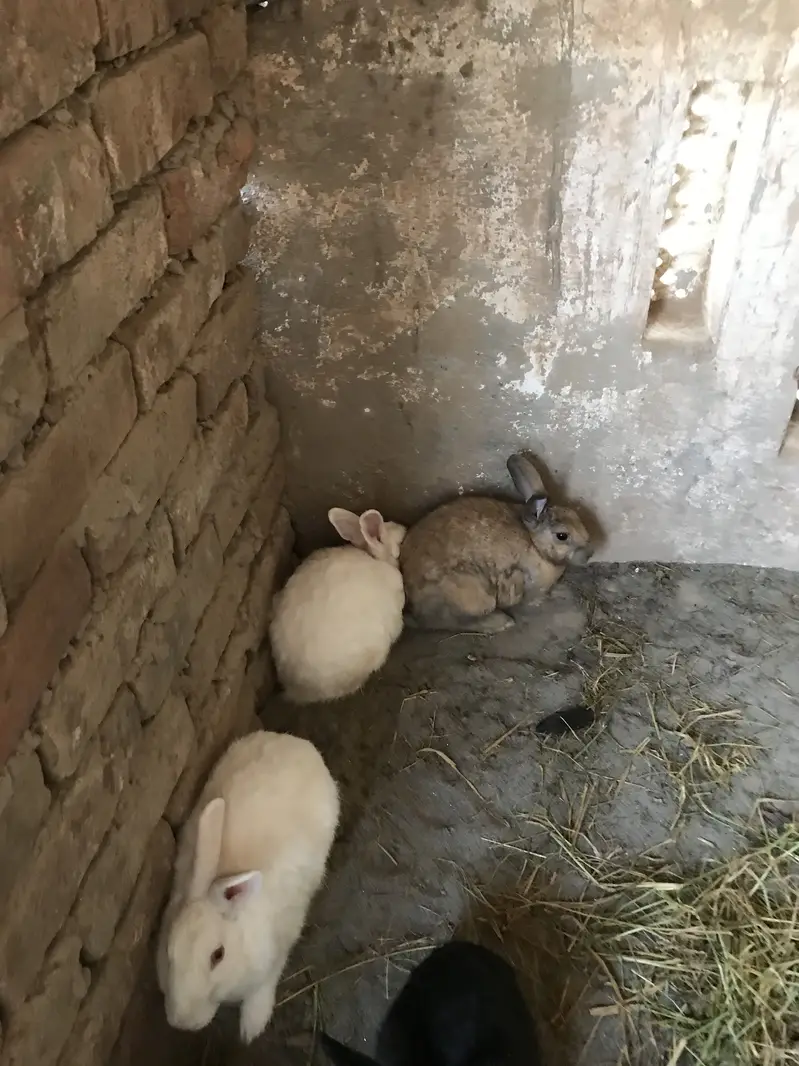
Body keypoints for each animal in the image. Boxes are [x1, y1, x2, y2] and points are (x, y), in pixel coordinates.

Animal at [156, 730, 340, 1044]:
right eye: (170, 951)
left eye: (217, 955)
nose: (182, 1022)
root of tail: (295, 742)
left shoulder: (280, 944)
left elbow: (266, 982)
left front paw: (252, 1026)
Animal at [400, 453, 594, 633]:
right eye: (562, 536)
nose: (589, 554)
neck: (535, 543)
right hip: (474, 593)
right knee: (456, 622)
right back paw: (502, 622)